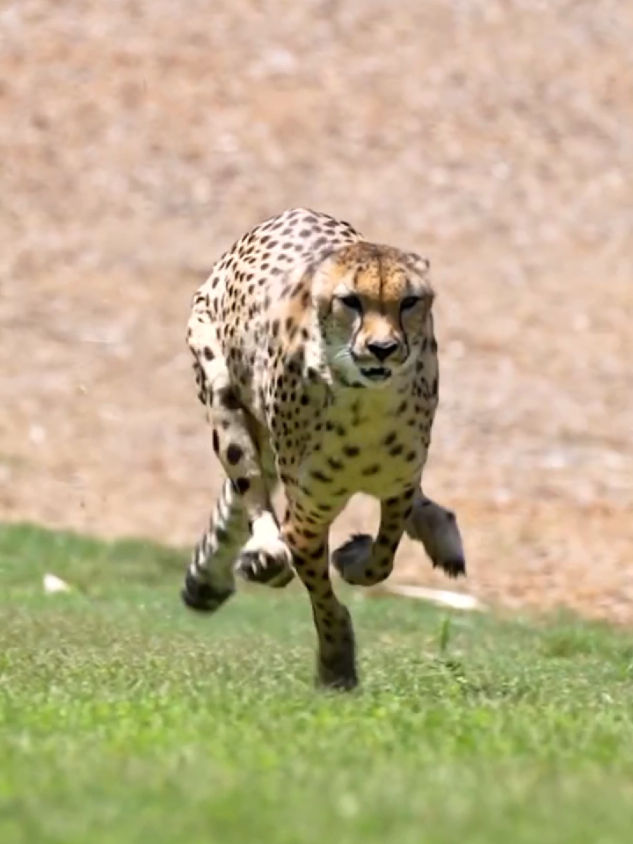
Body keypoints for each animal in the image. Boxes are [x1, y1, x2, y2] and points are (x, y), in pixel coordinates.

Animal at [181, 208, 465, 690]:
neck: (365, 404)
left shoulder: (398, 485)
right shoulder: (306, 518)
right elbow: (323, 597)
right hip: (222, 393)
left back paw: (441, 533)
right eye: (351, 302)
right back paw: (264, 555)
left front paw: (352, 558)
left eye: (409, 302)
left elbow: (381, 560)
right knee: (251, 487)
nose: (383, 348)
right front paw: (336, 661)